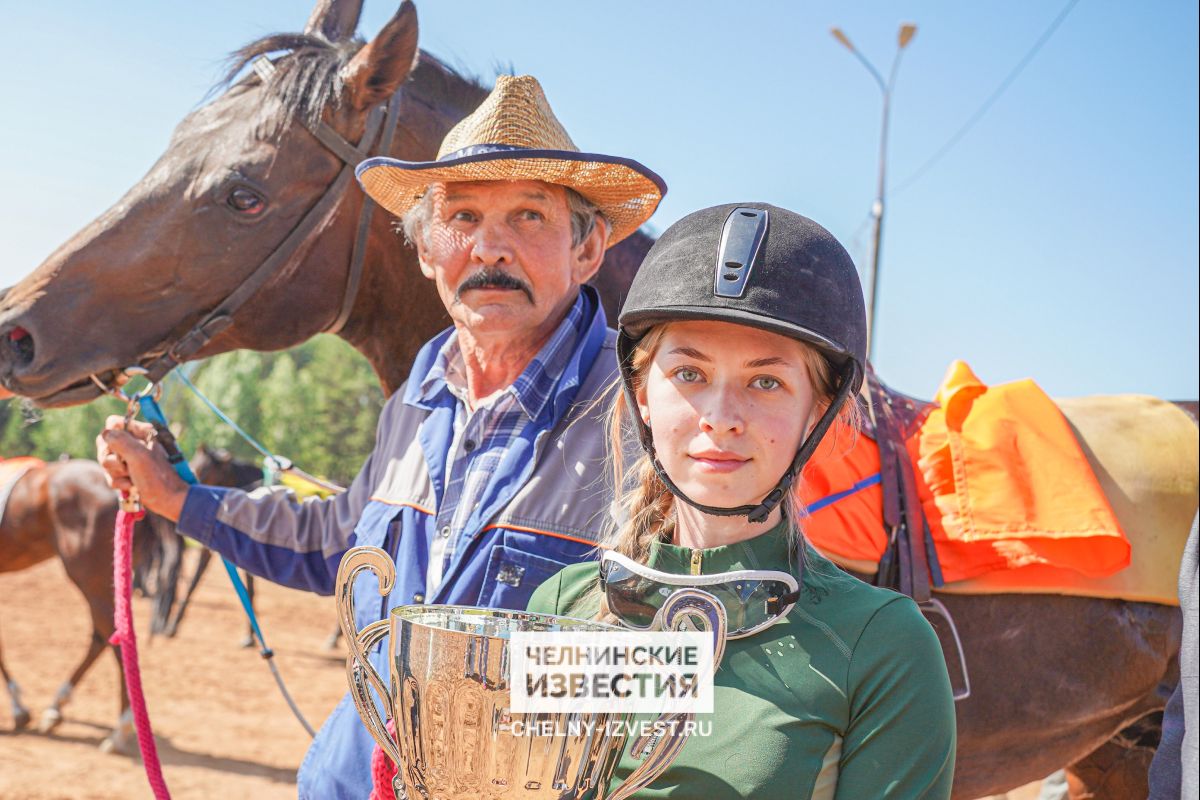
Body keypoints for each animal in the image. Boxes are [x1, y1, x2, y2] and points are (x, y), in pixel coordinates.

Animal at [0, 460, 174, 753]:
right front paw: (20, 708)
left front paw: (17, 708)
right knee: (102, 637)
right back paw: (56, 708)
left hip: (89, 575)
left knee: (115, 638)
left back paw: (120, 730)